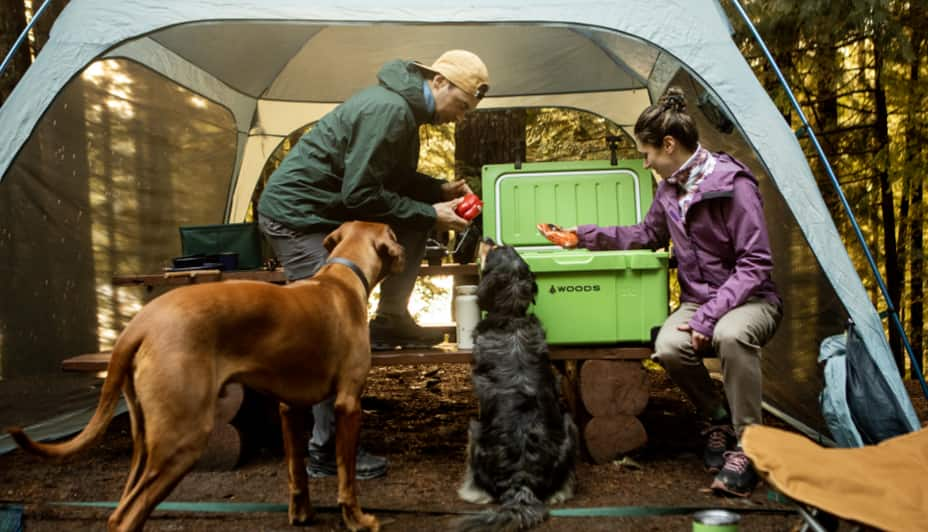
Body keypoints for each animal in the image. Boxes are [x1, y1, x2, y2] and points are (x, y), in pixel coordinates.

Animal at [7, 221, 404, 532]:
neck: (341, 277)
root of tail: (141, 323)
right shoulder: (348, 405)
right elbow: (347, 477)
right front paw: (357, 520)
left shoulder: (289, 408)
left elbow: (297, 472)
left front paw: (302, 513)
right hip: (183, 439)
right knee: (126, 517)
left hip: (146, 439)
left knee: (119, 510)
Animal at [454, 242, 576, 532]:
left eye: (494, 249)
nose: (488, 237)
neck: (510, 318)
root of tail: (522, 481)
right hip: (568, 424)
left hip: (473, 429)